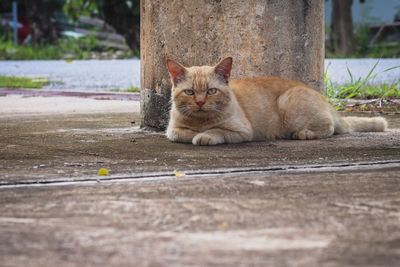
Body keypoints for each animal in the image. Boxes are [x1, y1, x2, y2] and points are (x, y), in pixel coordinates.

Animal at [166, 57, 388, 147]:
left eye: (211, 91)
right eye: (190, 92)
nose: (200, 102)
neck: (200, 121)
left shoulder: (242, 131)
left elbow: (217, 131)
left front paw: (204, 135)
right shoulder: (172, 130)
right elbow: (180, 133)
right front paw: (195, 133)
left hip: (289, 103)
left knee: (330, 128)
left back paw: (304, 133)